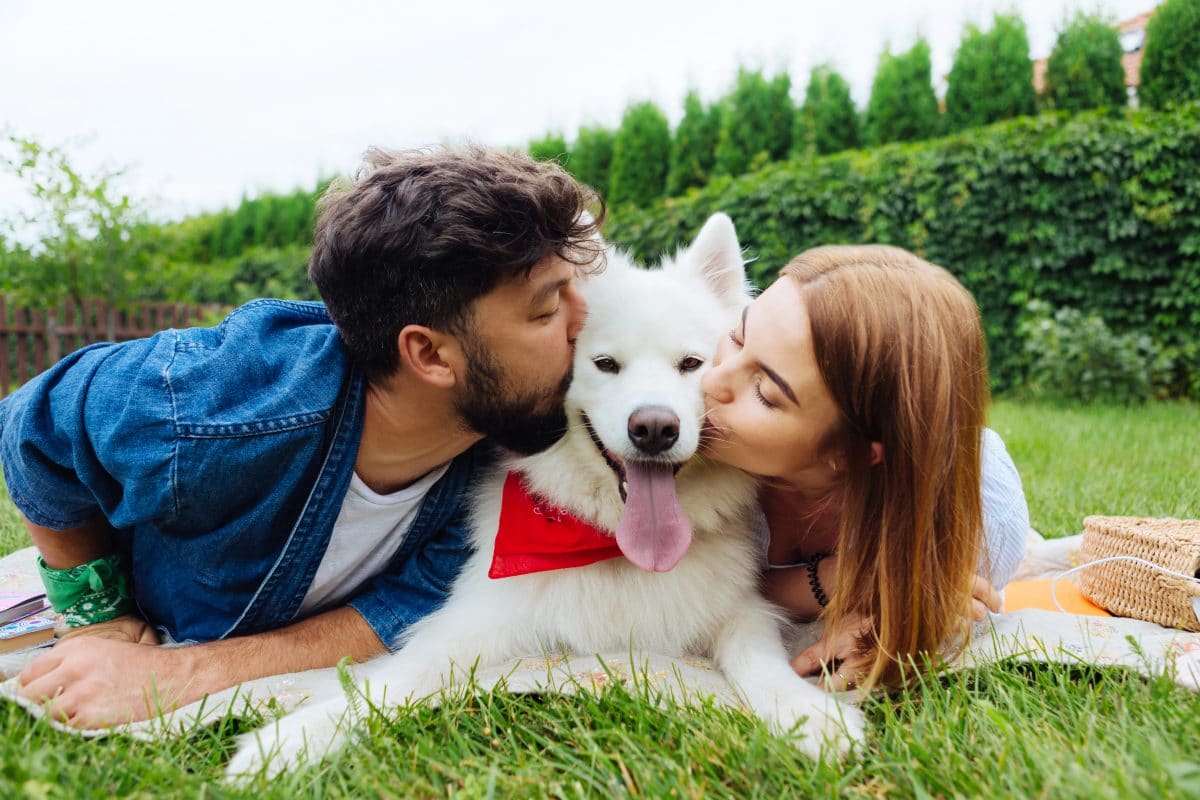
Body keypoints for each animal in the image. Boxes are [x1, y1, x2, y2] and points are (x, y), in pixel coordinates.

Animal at [226, 215, 864, 777]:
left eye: (691, 364)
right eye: (605, 363)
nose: (654, 428)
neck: (609, 542)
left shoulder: (740, 611)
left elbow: (758, 660)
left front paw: (810, 716)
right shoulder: (472, 623)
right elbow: (396, 679)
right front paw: (291, 741)